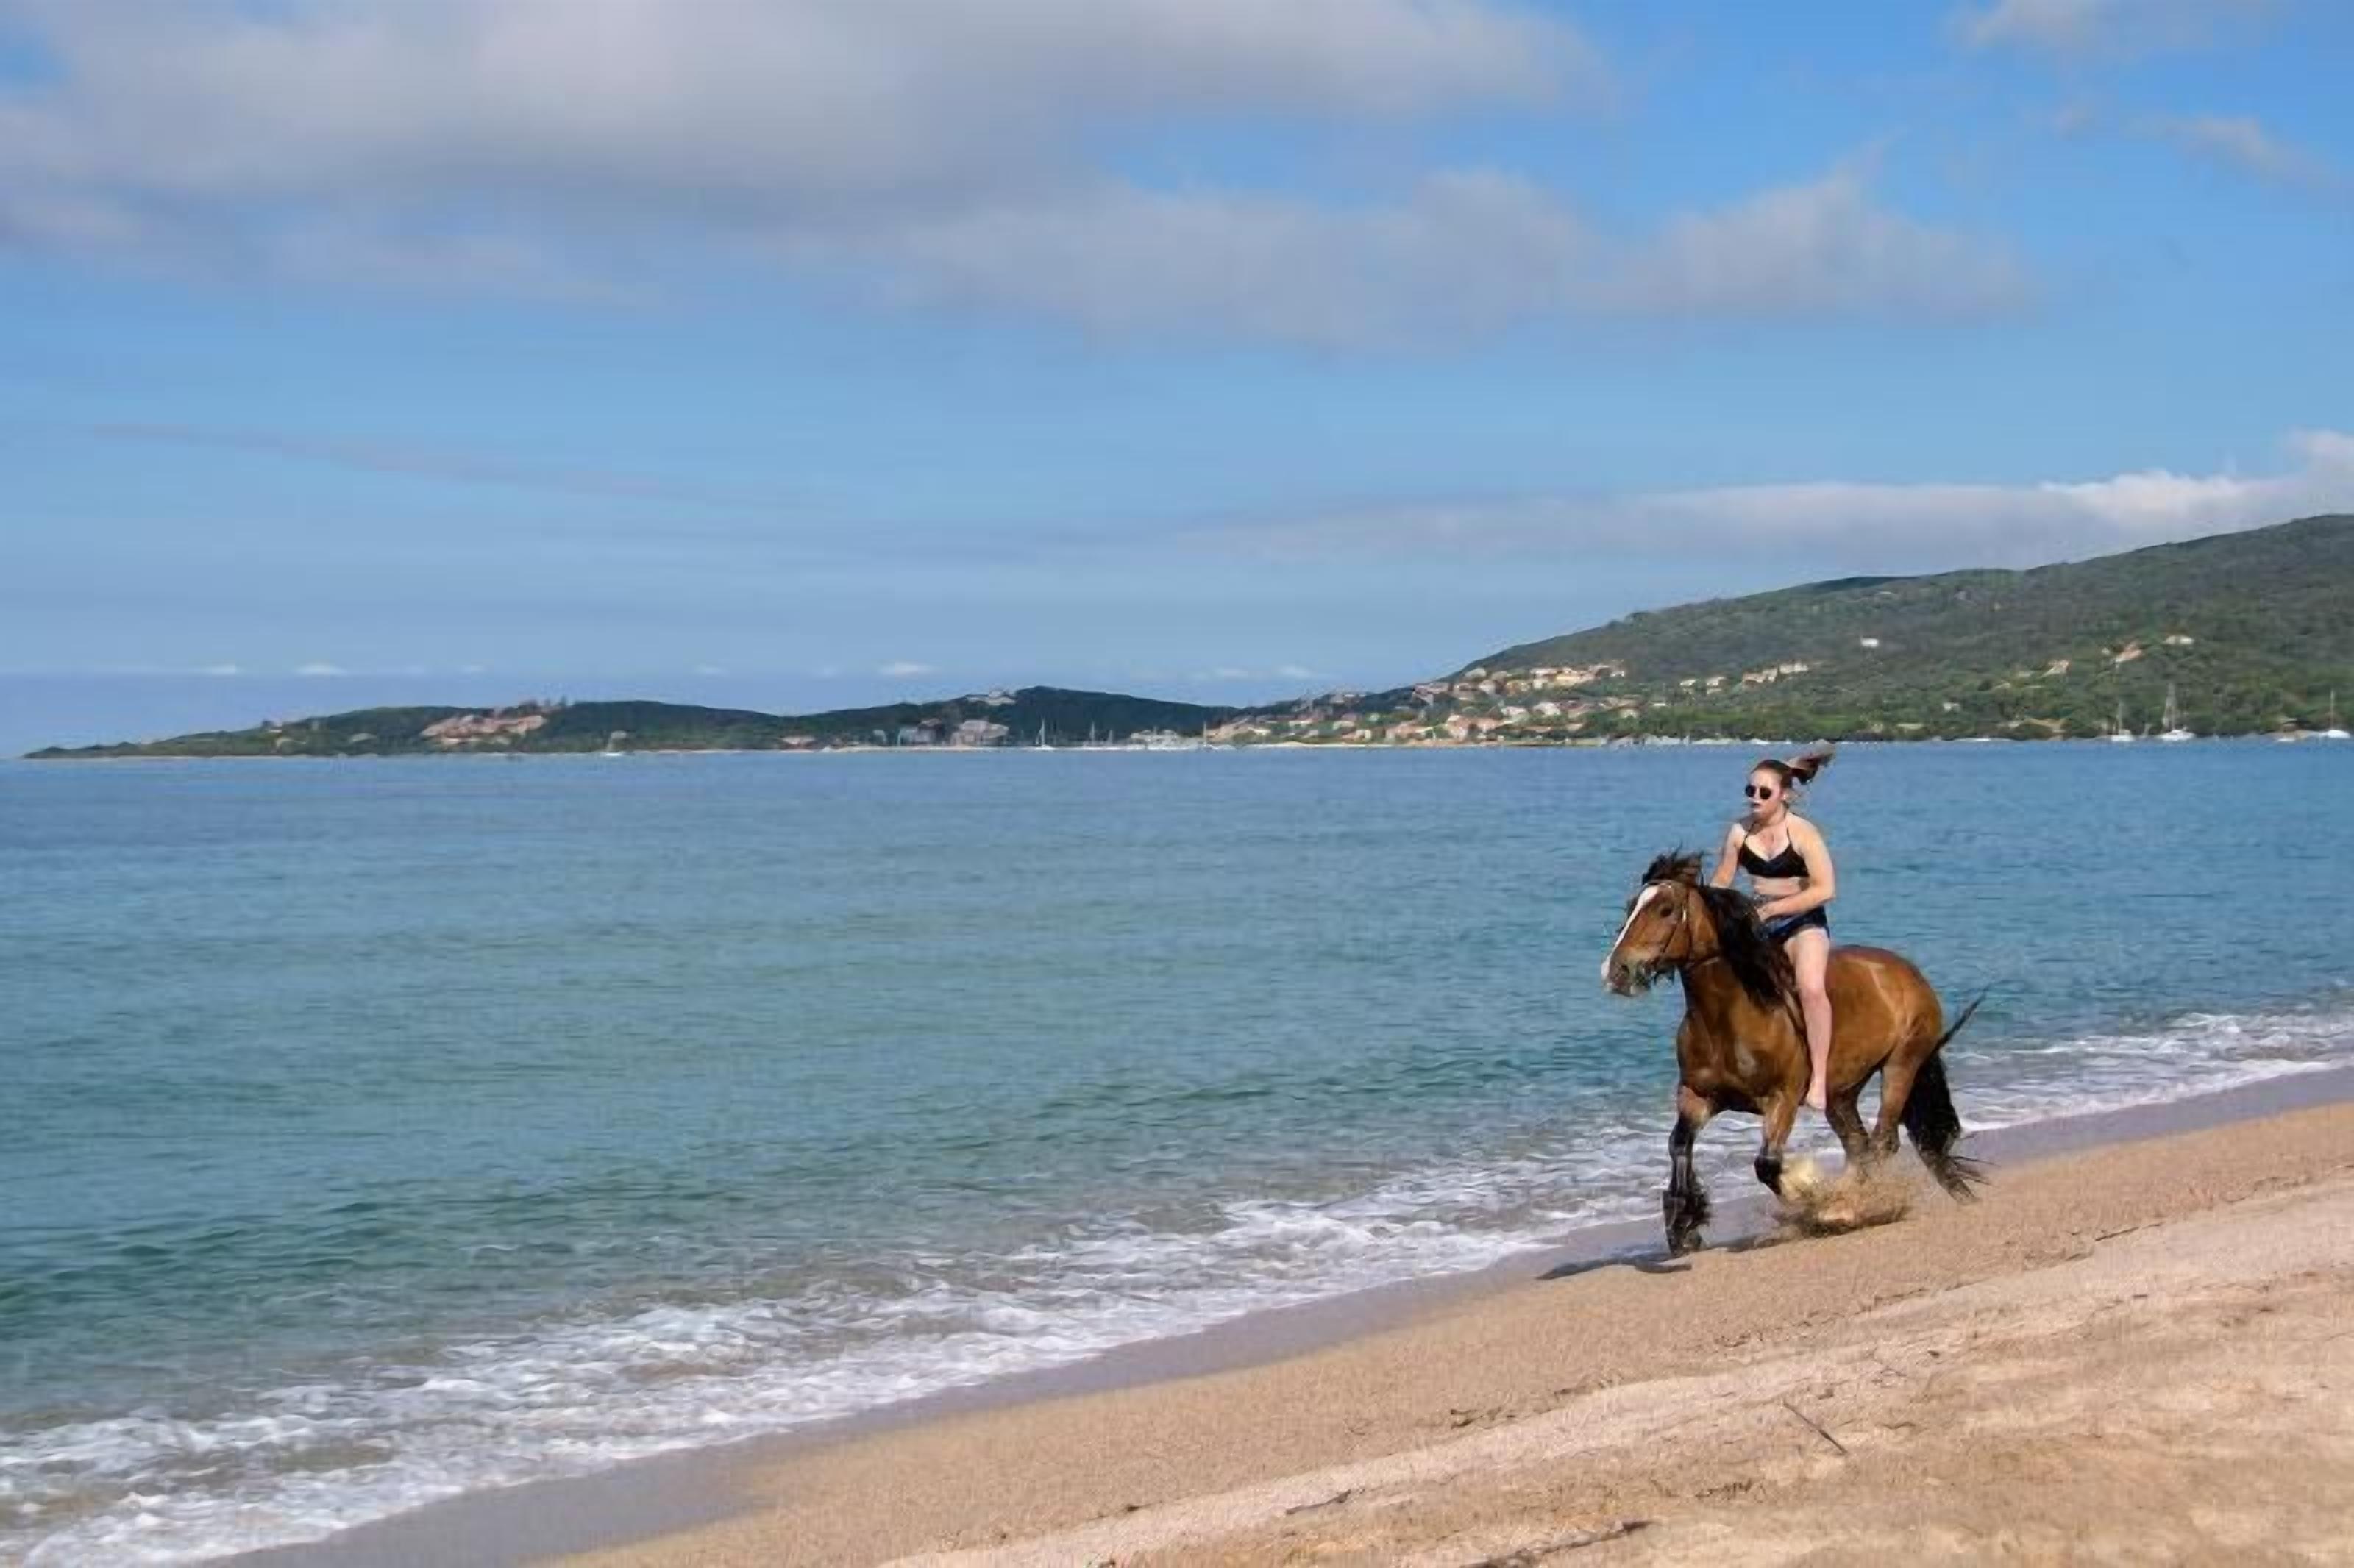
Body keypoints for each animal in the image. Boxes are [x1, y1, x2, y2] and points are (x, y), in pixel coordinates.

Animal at [1600, 850, 1984, 1256]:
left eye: (1666, 909)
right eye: (1630, 906)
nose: (1617, 970)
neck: (1728, 1018)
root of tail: (1908, 972)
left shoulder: (1781, 1098)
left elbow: (1766, 1164)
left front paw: (1811, 1201)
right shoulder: (1697, 1096)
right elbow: (1678, 1145)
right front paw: (1682, 1226)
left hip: (1902, 1065)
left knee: (1883, 1141)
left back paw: (1846, 1208)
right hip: (1841, 1094)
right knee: (1860, 1147)